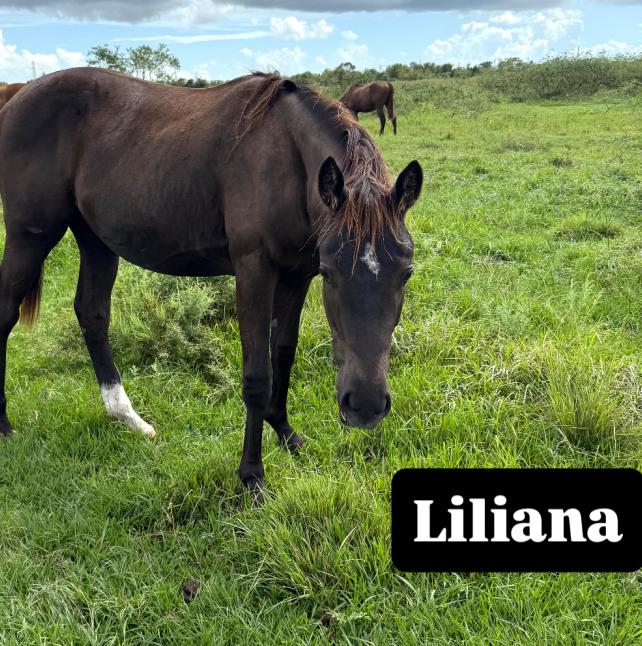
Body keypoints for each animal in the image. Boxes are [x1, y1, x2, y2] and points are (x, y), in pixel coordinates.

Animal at [0, 68, 422, 495]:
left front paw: (286, 433)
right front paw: (252, 474)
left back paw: (128, 418)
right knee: (6, 315)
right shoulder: (255, 271)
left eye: (406, 273)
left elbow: (284, 354)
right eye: (332, 273)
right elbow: (257, 375)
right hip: (29, 237)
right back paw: (5, 425)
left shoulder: (297, 276)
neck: (286, 158)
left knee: (92, 314)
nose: (365, 406)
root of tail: (19, 96)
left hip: (95, 240)